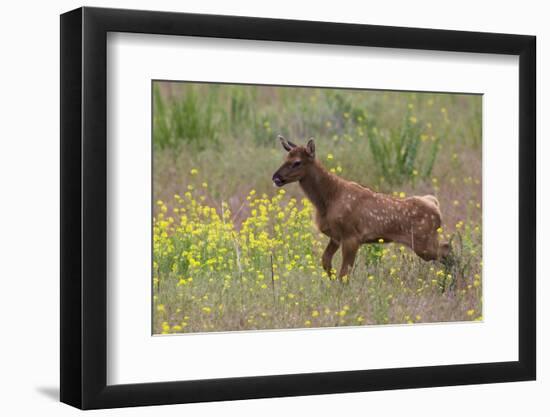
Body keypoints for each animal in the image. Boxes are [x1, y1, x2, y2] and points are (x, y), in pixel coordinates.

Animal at [274, 136, 450, 280]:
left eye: (297, 162)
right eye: (286, 158)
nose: (275, 177)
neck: (329, 199)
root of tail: (434, 204)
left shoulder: (351, 236)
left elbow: (344, 274)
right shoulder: (335, 236)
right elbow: (326, 262)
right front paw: (331, 282)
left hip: (423, 241)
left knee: (447, 250)